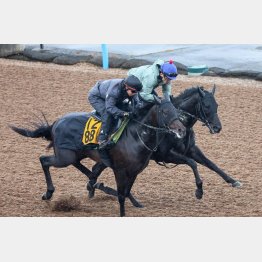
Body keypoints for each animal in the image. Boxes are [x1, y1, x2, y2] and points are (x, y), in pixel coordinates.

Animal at [10, 99, 186, 216]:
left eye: (176, 111)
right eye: (165, 112)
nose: (181, 130)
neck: (136, 137)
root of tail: (56, 122)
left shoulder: (135, 171)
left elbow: (126, 191)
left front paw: (134, 202)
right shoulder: (119, 169)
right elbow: (121, 194)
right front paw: (122, 212)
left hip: (75, 153)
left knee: (81, 166)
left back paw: (93, 182)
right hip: (64, 157)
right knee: (44, 160)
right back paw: (48, 193)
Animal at [87, 84, 242, 201]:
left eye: (217, 105)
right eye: (206, 106)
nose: (217, 128)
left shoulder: (191, 149)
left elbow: (211, 164)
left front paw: (233, 181)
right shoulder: (166, 155)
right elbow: (192, 163)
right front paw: (199, 190)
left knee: (96, 168)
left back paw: (93, 188)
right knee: (97, 168)